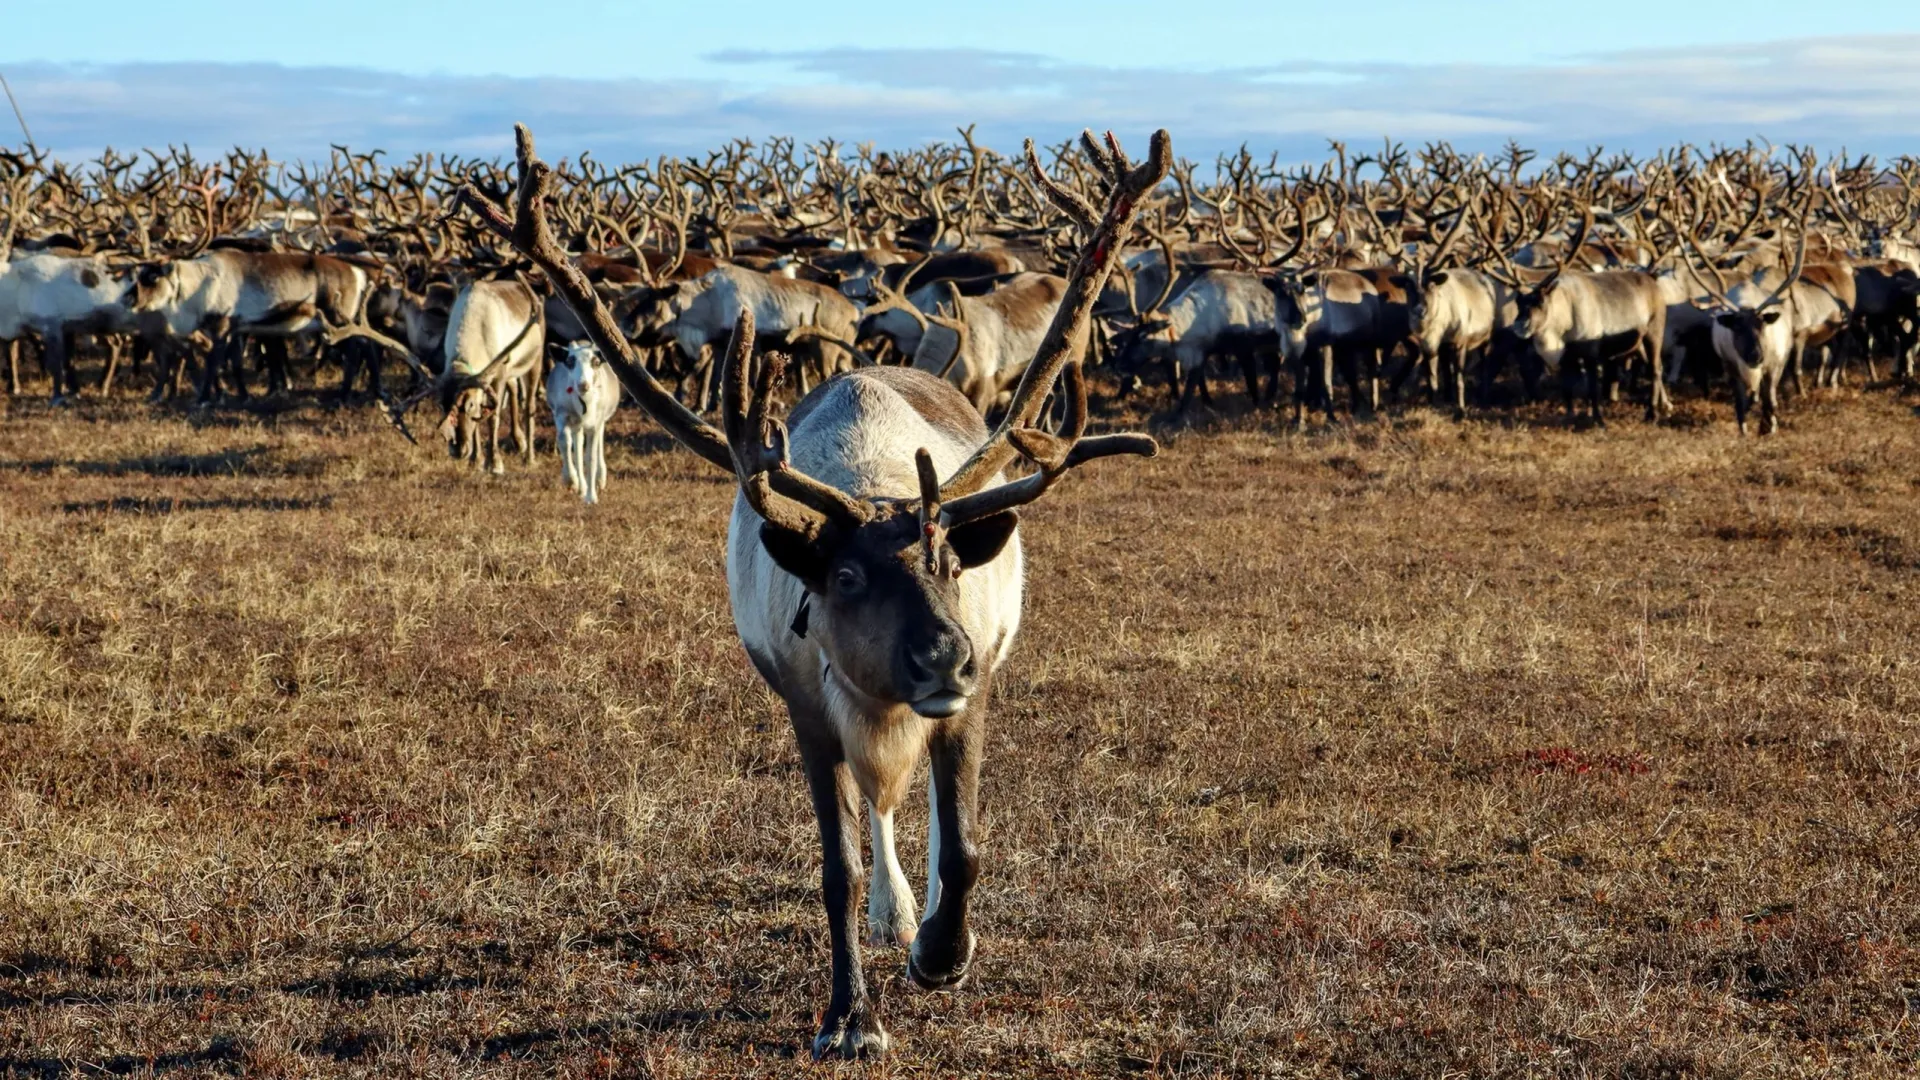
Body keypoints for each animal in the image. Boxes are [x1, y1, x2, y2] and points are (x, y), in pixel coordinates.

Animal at [545, 342, 618, 503]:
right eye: (569, 362)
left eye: (596, 362)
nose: (583, 385)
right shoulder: (561, 414)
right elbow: (565, 443)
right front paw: (571, 480)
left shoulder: (596, 422)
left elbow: (590, 457)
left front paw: (591, 497)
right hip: (576, 424)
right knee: (577, 448)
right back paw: (581, 486)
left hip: (599, 419)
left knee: (596, 444)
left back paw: (600, 480)